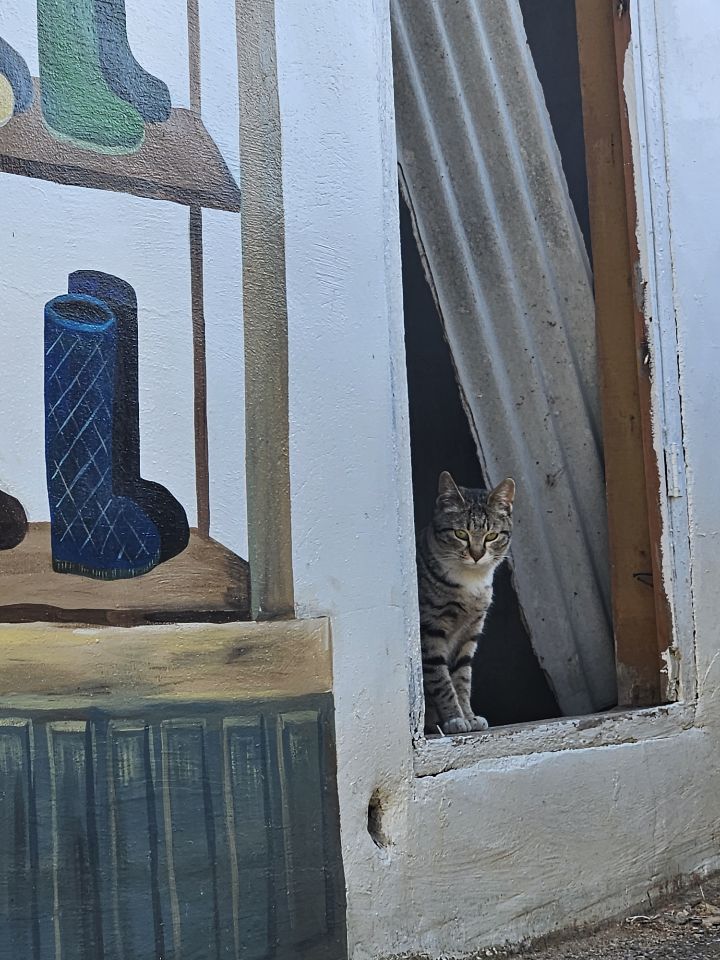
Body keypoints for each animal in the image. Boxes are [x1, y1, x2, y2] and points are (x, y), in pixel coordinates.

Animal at [417, 470, 515, 735]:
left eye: (491, 536)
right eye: (461, 534)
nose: (477, 554)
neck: (471, 583)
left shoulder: (471, 630)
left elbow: (462, 677)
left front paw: (469, 716)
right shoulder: (430, 629)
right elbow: (441, 679)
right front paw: (454, 719)